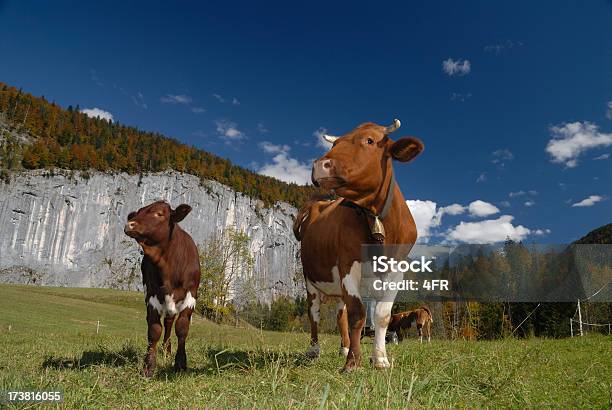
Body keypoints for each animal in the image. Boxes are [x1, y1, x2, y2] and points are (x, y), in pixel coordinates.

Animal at [123, 200, 201, 376]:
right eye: (138, 212)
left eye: (159, 213)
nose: (130, 224)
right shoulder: (151, 296)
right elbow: (154, 330)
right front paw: (148, 366)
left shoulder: (191, 296)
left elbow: (182, 328)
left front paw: (180, 363)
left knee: (170, 321)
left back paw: (167, 351)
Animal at [294, 117, 424, 372]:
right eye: (336, 144)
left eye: (370, 141)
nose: (320, 165)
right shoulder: (348, 263)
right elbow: (357, 315)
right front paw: (353, 363)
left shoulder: (397, 269)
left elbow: (382, 316)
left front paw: (381, 360)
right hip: (309, 278)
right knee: (314, 313)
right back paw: (314, 351)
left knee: (340, 315)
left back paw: (344, 347)